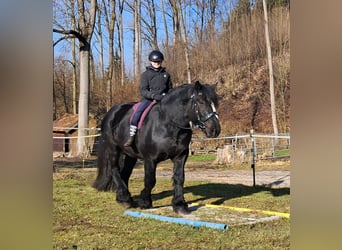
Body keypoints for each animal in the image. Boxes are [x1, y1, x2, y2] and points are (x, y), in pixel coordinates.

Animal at [93, 81, 222, 214]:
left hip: (130, 155)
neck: (168, 123)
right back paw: (125, 199)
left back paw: (122, 198)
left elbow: (179, 178)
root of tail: (112, 112)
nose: (215, 130)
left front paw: (179, 205)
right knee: (115, 170)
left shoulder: (180, 156)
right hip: (113, 149)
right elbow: (150, 180)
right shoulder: (150, 159)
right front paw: (145, 202)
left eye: (215, 103)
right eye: (201, 102)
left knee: (125, 174)